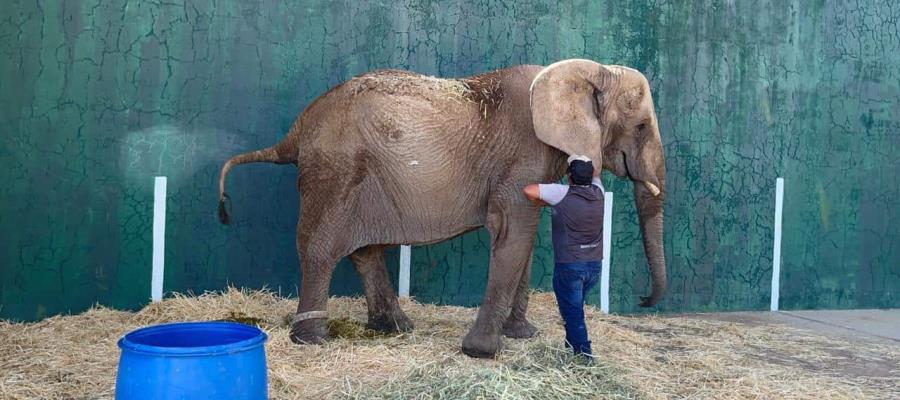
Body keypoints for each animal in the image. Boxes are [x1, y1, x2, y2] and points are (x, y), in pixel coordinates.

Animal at [218, 57, 668, 358]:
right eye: (641, 126)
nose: (645, 301)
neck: (583, 70)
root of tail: (295, 132)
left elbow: (523, 237)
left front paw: (523, 335)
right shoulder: (521, 155)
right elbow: (513, 232)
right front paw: (482, 352)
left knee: (365, 250)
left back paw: (394, 327)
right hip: (334, 171)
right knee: (320, 248)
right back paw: (312, 339)